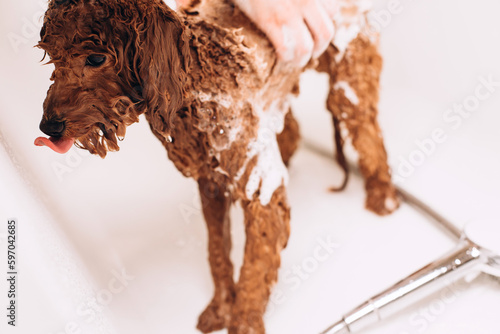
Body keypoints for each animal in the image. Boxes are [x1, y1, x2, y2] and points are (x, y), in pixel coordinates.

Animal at [35, 1, 400, 332]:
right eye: (51, 56)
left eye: (96, 58)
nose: (48, 126)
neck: (198, 82)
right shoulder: (210, 184)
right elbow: (217, 252)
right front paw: (222, 307)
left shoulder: (261, 196)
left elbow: (253, 272)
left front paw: (242, 321)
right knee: (292, 133)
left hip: (349, 77)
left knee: (368, 137)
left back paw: (383, 197)